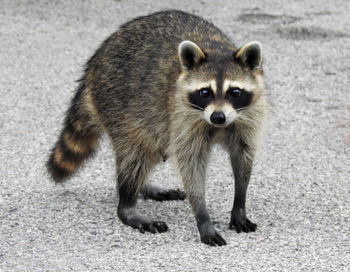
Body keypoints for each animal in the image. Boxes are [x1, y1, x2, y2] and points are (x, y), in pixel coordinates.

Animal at [46, 10, 268, 246]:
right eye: (205, 92)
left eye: (234, 92)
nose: (218, 117)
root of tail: (93, 66)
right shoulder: (182, 116)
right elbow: (191, 168)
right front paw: (202, 215)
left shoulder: (248, 116)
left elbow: (243, 159)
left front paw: (239, 203)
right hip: (118, 106)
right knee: (134, 155)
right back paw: (128, 206)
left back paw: (143, 187)